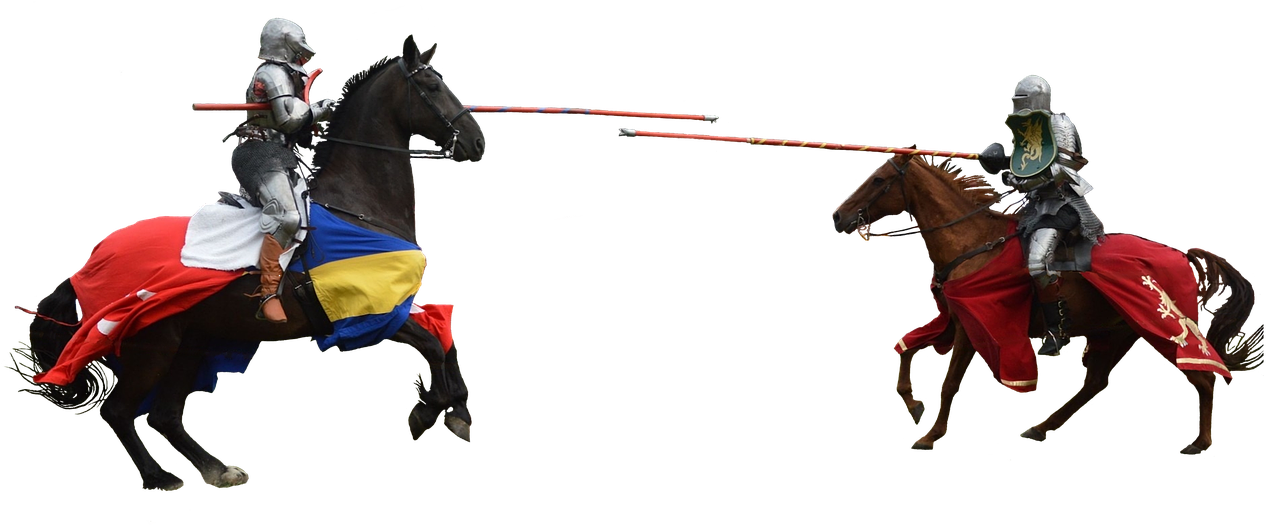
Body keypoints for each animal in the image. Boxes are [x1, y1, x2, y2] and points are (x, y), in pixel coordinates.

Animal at [9, 36, 483, 491]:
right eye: (432, 86)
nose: (476, 141)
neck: (357, 206)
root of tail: (88, 264)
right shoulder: (364, 315)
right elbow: (430, 344)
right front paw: (430, 411)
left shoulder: (395, 304)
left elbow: (443, 337)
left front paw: (458, 410)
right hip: (154, 346)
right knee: (120, 411)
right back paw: (160, 477)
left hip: (193, 342)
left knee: (163, 413)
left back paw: (217, 469)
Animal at [829, 154, 1261, 454]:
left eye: (879, 180)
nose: (839, 217)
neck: (972, 243)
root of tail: (1184, 256)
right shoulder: (951, 320)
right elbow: (906, 347)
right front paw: (913, 404)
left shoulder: (974, 326)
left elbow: (949, 382)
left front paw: (931, 434)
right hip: (1117, 332)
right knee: (1095, 383)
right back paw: (1040, 427)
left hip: (1162, 326)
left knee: (1202, 376)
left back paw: (1200, 442)